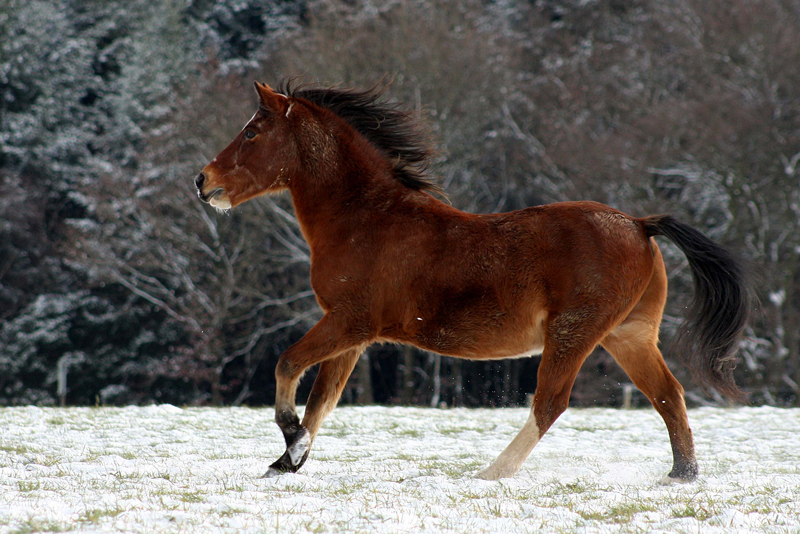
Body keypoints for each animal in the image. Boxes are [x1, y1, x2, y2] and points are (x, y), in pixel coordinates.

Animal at [194, 81, 752, 484]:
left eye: (252, 131)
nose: (203, 181)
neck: (366, 219)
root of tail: (639, 224)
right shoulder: (351, 334)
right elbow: (322, 400)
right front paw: (289, 459)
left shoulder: (351, 321)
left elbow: (288, 365)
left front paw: (289, 440)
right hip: (627, 335)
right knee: (668, 395)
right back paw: (682, 476)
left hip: (574, 333)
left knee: (551, 402)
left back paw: (491, 472)